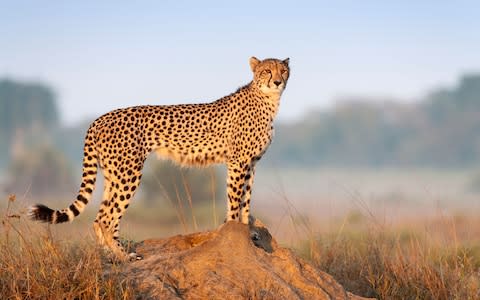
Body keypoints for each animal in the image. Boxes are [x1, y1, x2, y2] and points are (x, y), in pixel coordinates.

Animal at [29, 56, 288, 260]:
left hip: (114, 175)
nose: (277, 81)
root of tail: (99, 118)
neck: (267, 100)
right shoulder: (238, 162)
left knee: (100, 216)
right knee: (107, 218)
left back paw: (108, 254)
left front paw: (247, 230)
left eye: (283, 70)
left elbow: (246, 199)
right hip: (129, 173)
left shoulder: (251, 163)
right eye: (267, 70)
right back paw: (123, 257)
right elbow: (235, 199)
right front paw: (234, 231)